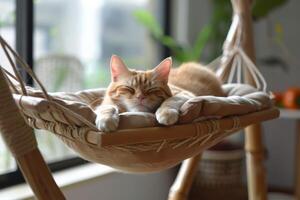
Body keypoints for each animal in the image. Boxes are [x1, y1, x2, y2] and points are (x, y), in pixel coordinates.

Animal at [95, 55, 224, 132]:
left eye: (151, 90)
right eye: (129, 88)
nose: (140, 97)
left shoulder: (184, 93)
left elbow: (169, 101)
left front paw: (165, 113)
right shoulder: (104, 104)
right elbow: (108, 107)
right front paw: (106, 119)